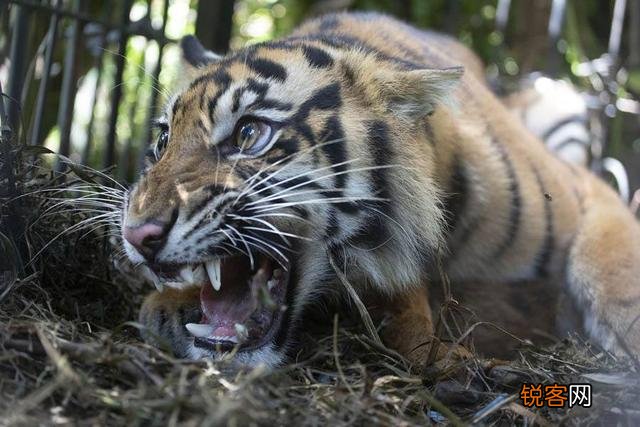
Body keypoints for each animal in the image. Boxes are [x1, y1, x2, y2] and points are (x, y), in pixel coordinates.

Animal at [120, 12, 640, 368]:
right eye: (163, 140)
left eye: (249, 134)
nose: (135, 235)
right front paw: (168, 307)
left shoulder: (587, 189)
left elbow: (612, 261)